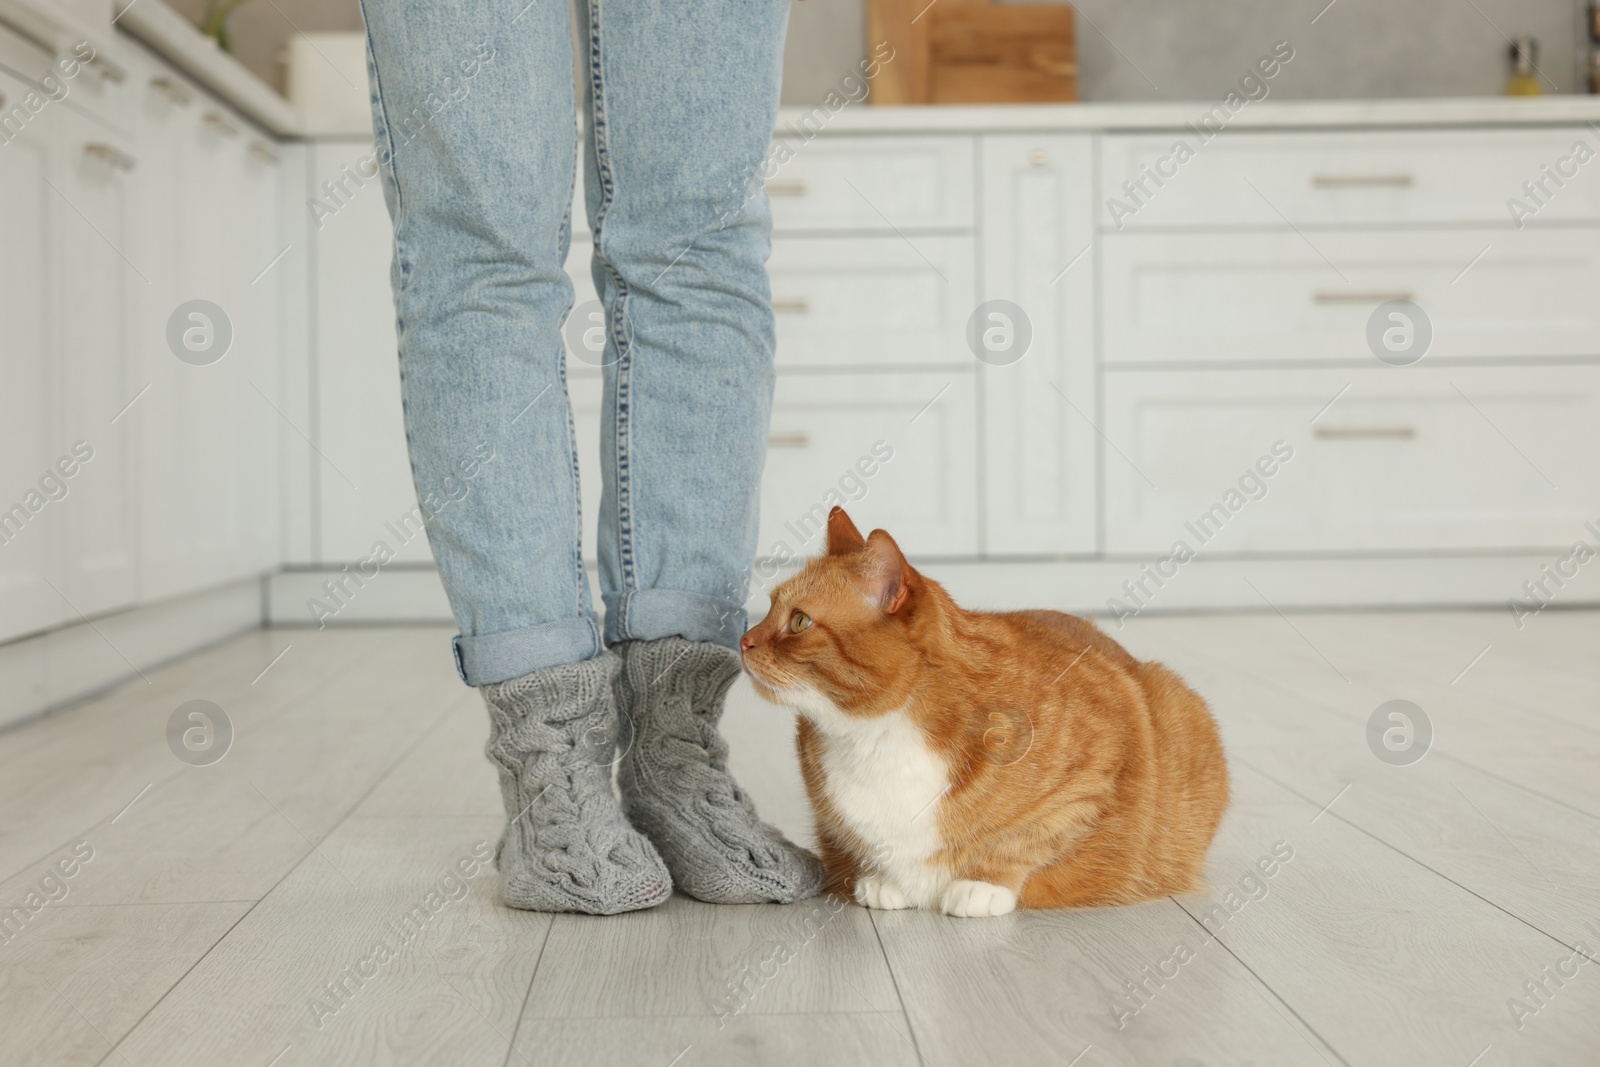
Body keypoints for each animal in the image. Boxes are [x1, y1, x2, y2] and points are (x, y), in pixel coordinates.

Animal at [736, 508, 1222, 921]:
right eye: (769, 607)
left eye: (799, 622)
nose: (743, 640)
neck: (875, 732)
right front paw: (883, 879)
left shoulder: (1091, 772)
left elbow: (1025, 840)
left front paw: (982, 885)